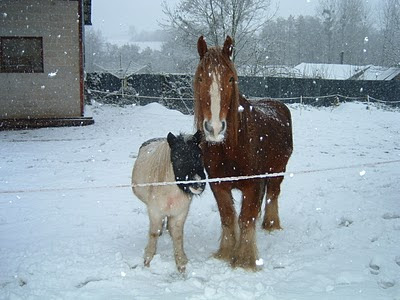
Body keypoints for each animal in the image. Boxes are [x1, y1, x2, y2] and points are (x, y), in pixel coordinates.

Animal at [132, 131, 206, 272]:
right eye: (177, 156)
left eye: (200, 154)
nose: (198, 183)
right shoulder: (154, 212)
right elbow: (153, 233)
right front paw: (148, 259)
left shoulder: (180, 213)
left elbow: (177, 235)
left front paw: (181, 263)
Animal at [195, 36, 294, 270]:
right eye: (201, 77)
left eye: (231, 78)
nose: (214, 128)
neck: (230, 148)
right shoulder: (218, 185)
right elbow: (228, 217)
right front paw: (225, 252)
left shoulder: (252, 185)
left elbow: (246, 218)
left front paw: (245, 259)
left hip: (278, 170)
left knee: (273, 195)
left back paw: (271, 224)